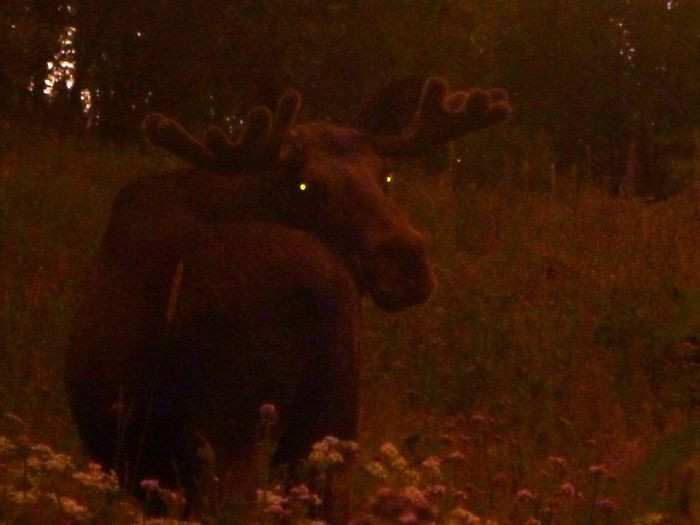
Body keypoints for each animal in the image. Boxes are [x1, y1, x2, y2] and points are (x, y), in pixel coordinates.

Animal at [65, 75, 512, 512]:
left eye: (385, 175)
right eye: (304, 185)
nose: (407, 263)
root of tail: (317, 289)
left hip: (231, 428)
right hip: (329, 418)